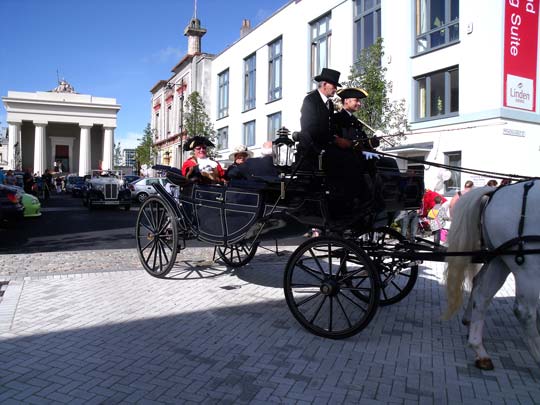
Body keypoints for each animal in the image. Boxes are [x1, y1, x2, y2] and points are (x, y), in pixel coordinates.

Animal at [442, 182, 540, 370]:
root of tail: (496, 193)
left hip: (500, 260)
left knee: (482, 295)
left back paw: (480, 351)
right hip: (527, 266)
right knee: (524, 312)